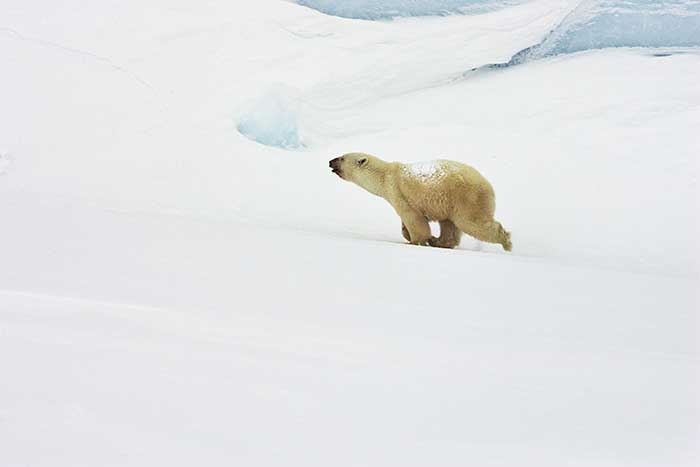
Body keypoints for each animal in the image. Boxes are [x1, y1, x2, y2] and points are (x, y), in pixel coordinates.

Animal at [330, 152, 512, 250]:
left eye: (342, 158)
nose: (330, 161)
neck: (386, 176)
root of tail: (488, 186)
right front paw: (415, 236)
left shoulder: (399, 193)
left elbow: (414, 219)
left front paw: (415, 241)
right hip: (451, 202)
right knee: (449, 225)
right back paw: (438, 241)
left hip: (466, 198)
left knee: (472, 223)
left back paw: (506, 242)